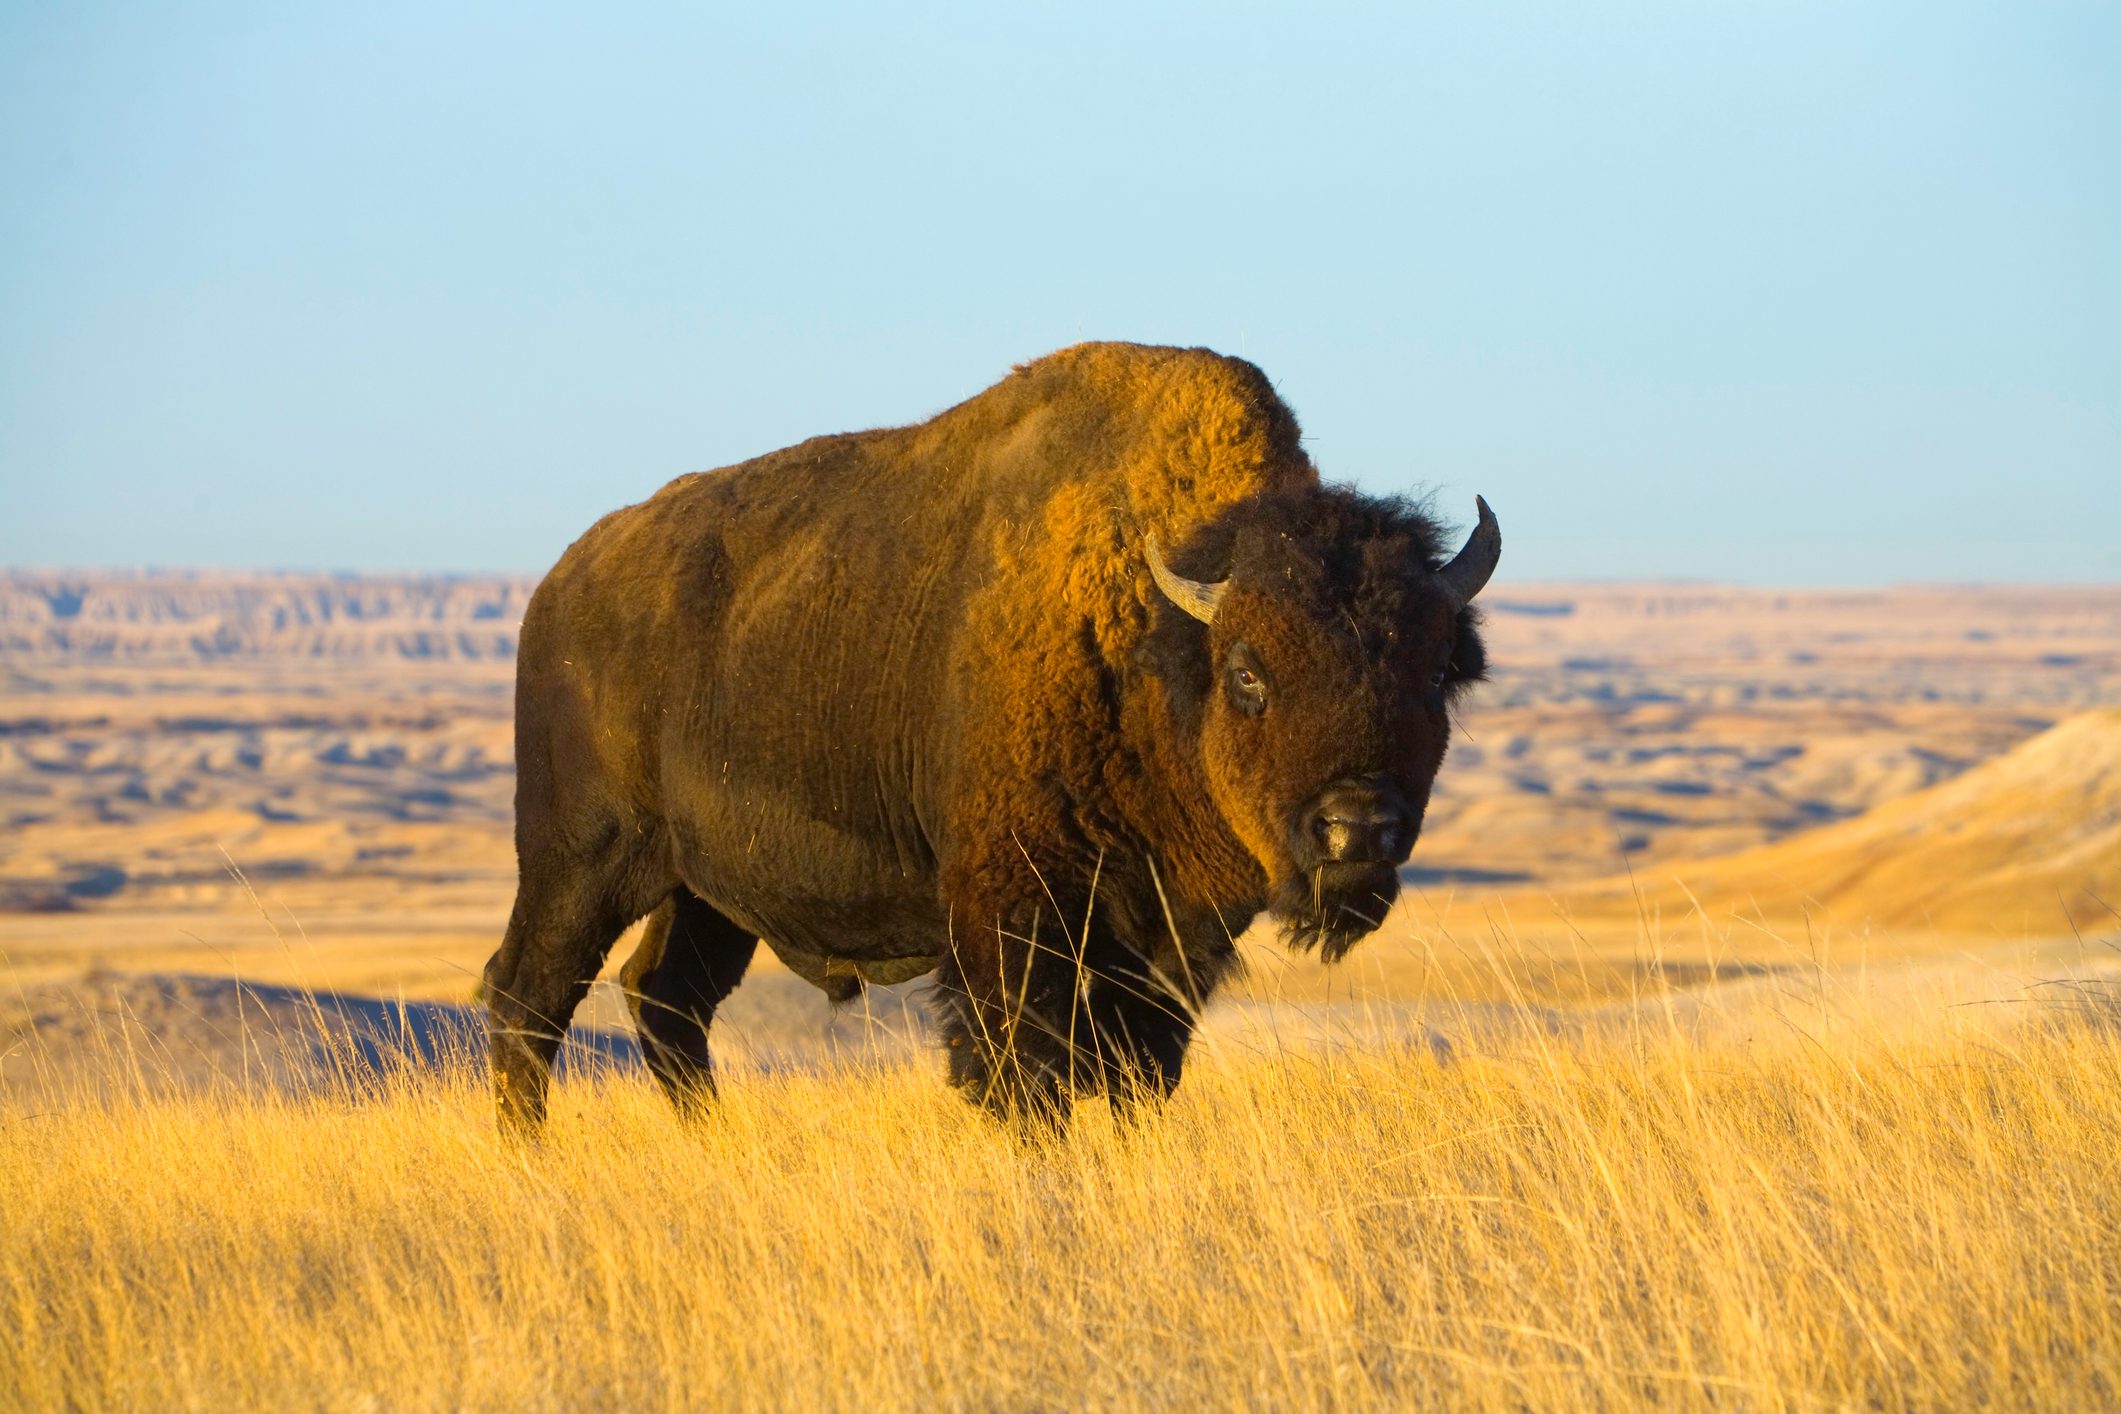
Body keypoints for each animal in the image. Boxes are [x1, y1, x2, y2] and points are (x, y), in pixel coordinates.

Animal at [485, 345, 1501, 1136]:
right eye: (1249, 673)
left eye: (1433, 672)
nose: (1355, 827)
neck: (1157, 640)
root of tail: (561, 584)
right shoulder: (1011, 906)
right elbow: (1022, 1067)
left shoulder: (1168, 939)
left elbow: (1137, 1071)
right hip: (583, 860)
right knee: (527, 995)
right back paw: (530, 1153)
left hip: (705, 891)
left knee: (666, 996)